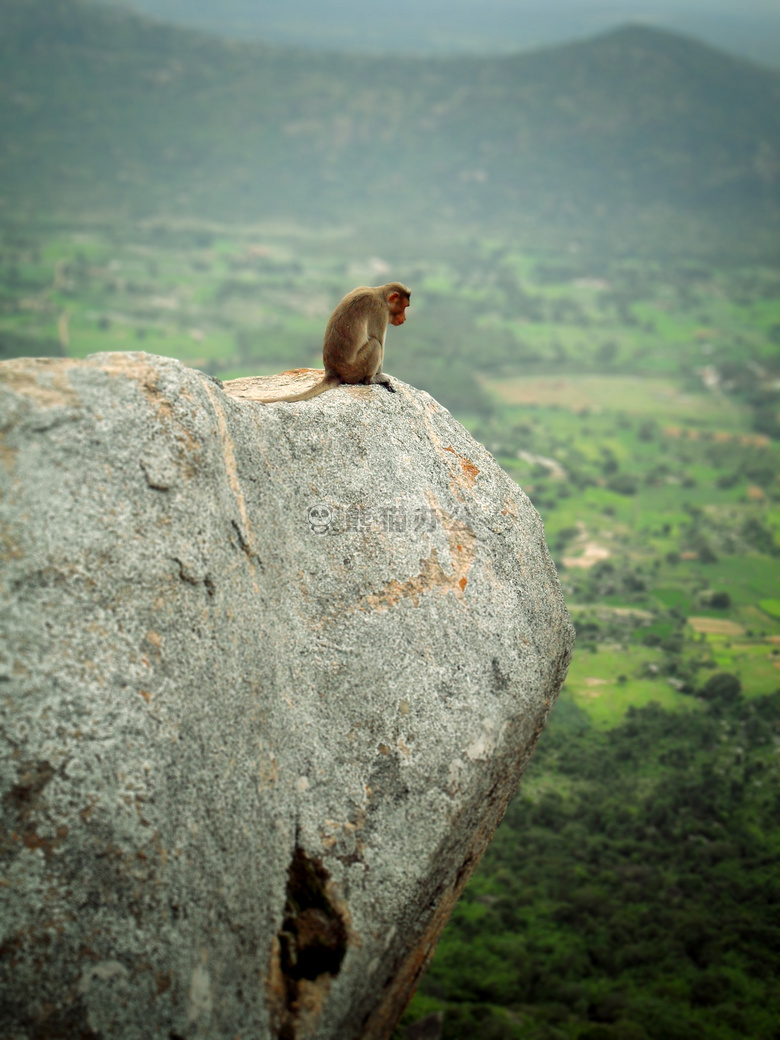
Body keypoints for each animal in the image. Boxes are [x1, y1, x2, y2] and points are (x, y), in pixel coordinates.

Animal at [261, 280, 411, 401]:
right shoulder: (379, 311)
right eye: (404, 307)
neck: (380, 294)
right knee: (375, 344)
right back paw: (371, 379)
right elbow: (379, 340)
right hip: (354, 369)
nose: (404, 319)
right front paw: (381, 376)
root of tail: (333, 373)